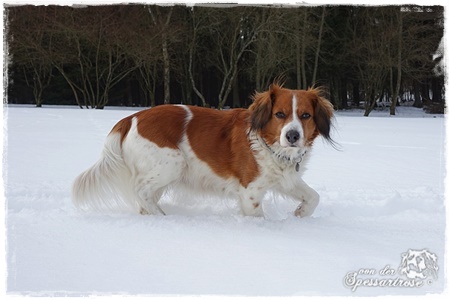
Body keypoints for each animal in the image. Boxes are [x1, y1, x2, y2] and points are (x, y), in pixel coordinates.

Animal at [73, 84, 334, 218]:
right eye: (280, 114)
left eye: (305, 115)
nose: (292, 136)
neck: (267, 144)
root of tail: (131, 117)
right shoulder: (250, 190)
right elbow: (257, 216)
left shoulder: (285, 179)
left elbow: (314, 197)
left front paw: (300, 213)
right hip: (173, 164)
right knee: (139, 191)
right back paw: (161, 217)